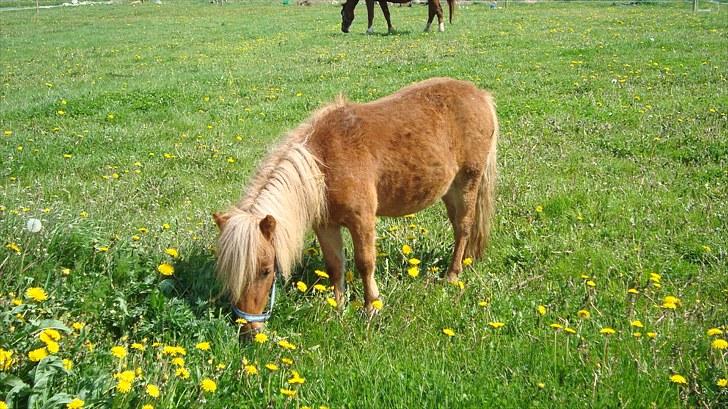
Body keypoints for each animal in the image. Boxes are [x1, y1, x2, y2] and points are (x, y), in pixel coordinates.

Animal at [213, 78, 498, 334]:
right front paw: (338, 308)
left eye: (266, 271)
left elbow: (365, 263)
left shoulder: (362, 220)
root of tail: (481, 95)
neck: (324, 163)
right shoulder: (326, 226)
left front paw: (371, 307)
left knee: (463, 228)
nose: (248, 329)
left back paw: (452, 275)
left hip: (467, 183)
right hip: (449, 191)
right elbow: (335, 265)